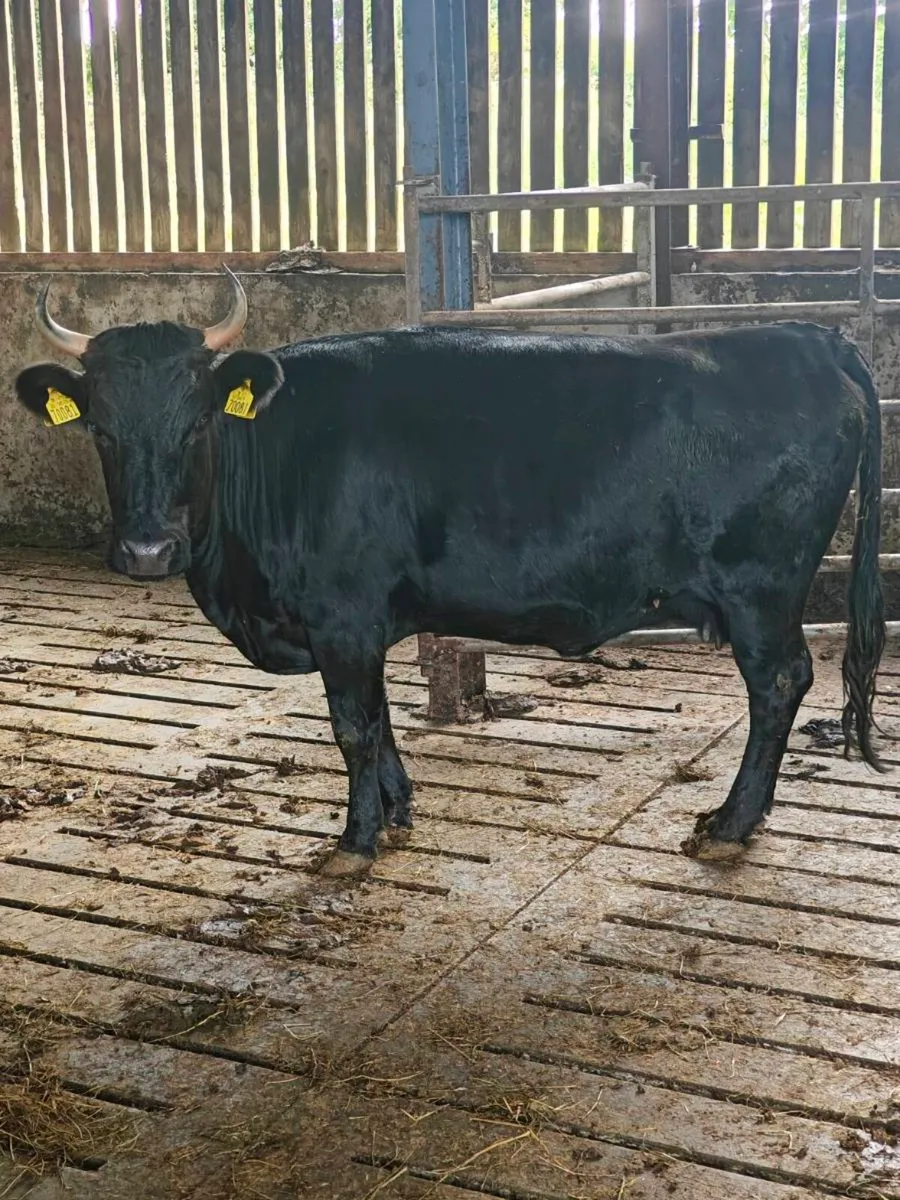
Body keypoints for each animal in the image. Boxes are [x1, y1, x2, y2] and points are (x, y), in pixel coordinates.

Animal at [15, 269, 885, 876]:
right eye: (99, 428)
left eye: (196, 424)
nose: (147, 551)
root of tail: (804, 337)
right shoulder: (360, 625)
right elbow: (380, 719)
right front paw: (397, 811)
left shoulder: (342, 616)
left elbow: (353, 726)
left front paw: (355, 841)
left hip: (761, 589)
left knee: (779, 684)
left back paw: (730, 825)